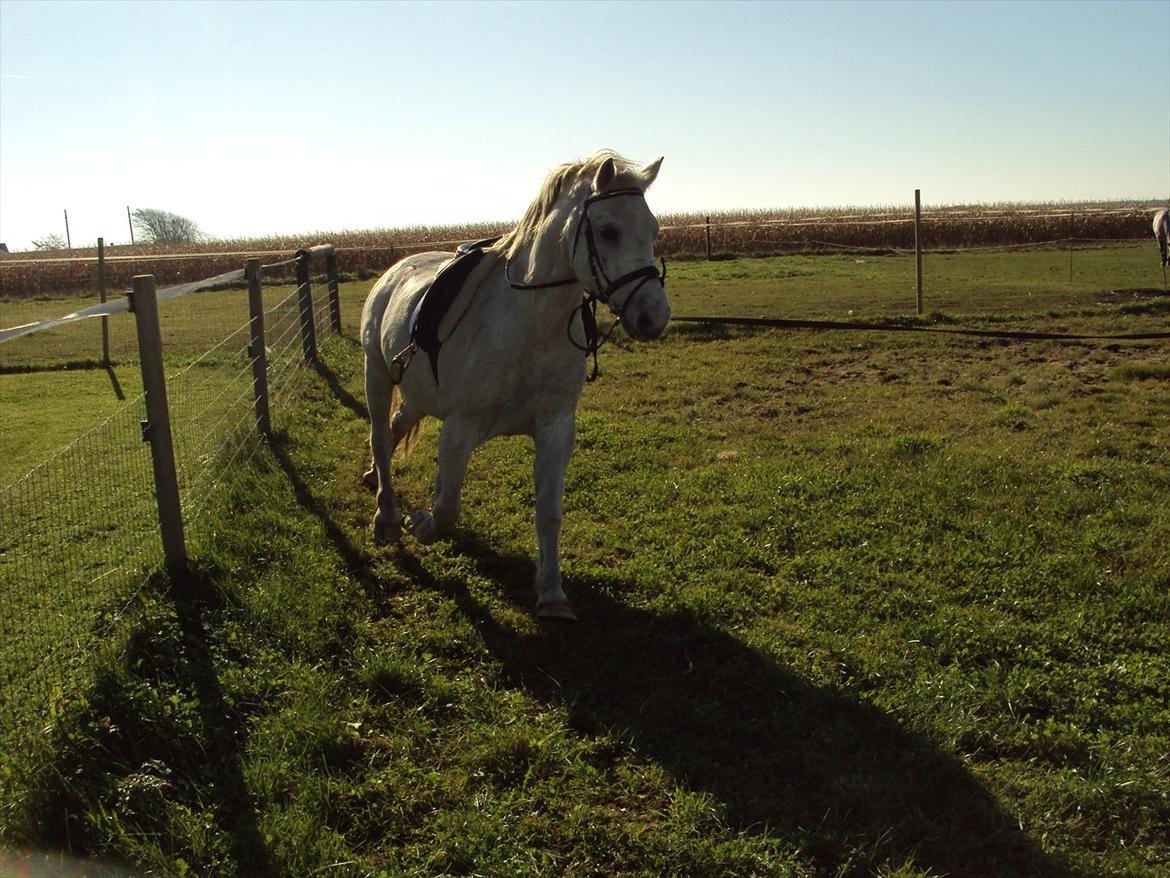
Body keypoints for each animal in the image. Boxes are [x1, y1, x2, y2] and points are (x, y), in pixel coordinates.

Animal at [355, 151, 673, 618]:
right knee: (380, 435)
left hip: (417, 393)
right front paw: (419, 523)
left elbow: (549, 513)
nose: (654, 316)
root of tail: (395, 269)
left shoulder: (556, 429)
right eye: (608, 231)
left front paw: (552, 594)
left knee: (396, 428)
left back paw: (374, 479)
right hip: (376, 373)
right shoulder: (460, 428)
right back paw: (388, 517)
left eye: (653, 229)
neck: (531, 327)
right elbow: (446, 507)